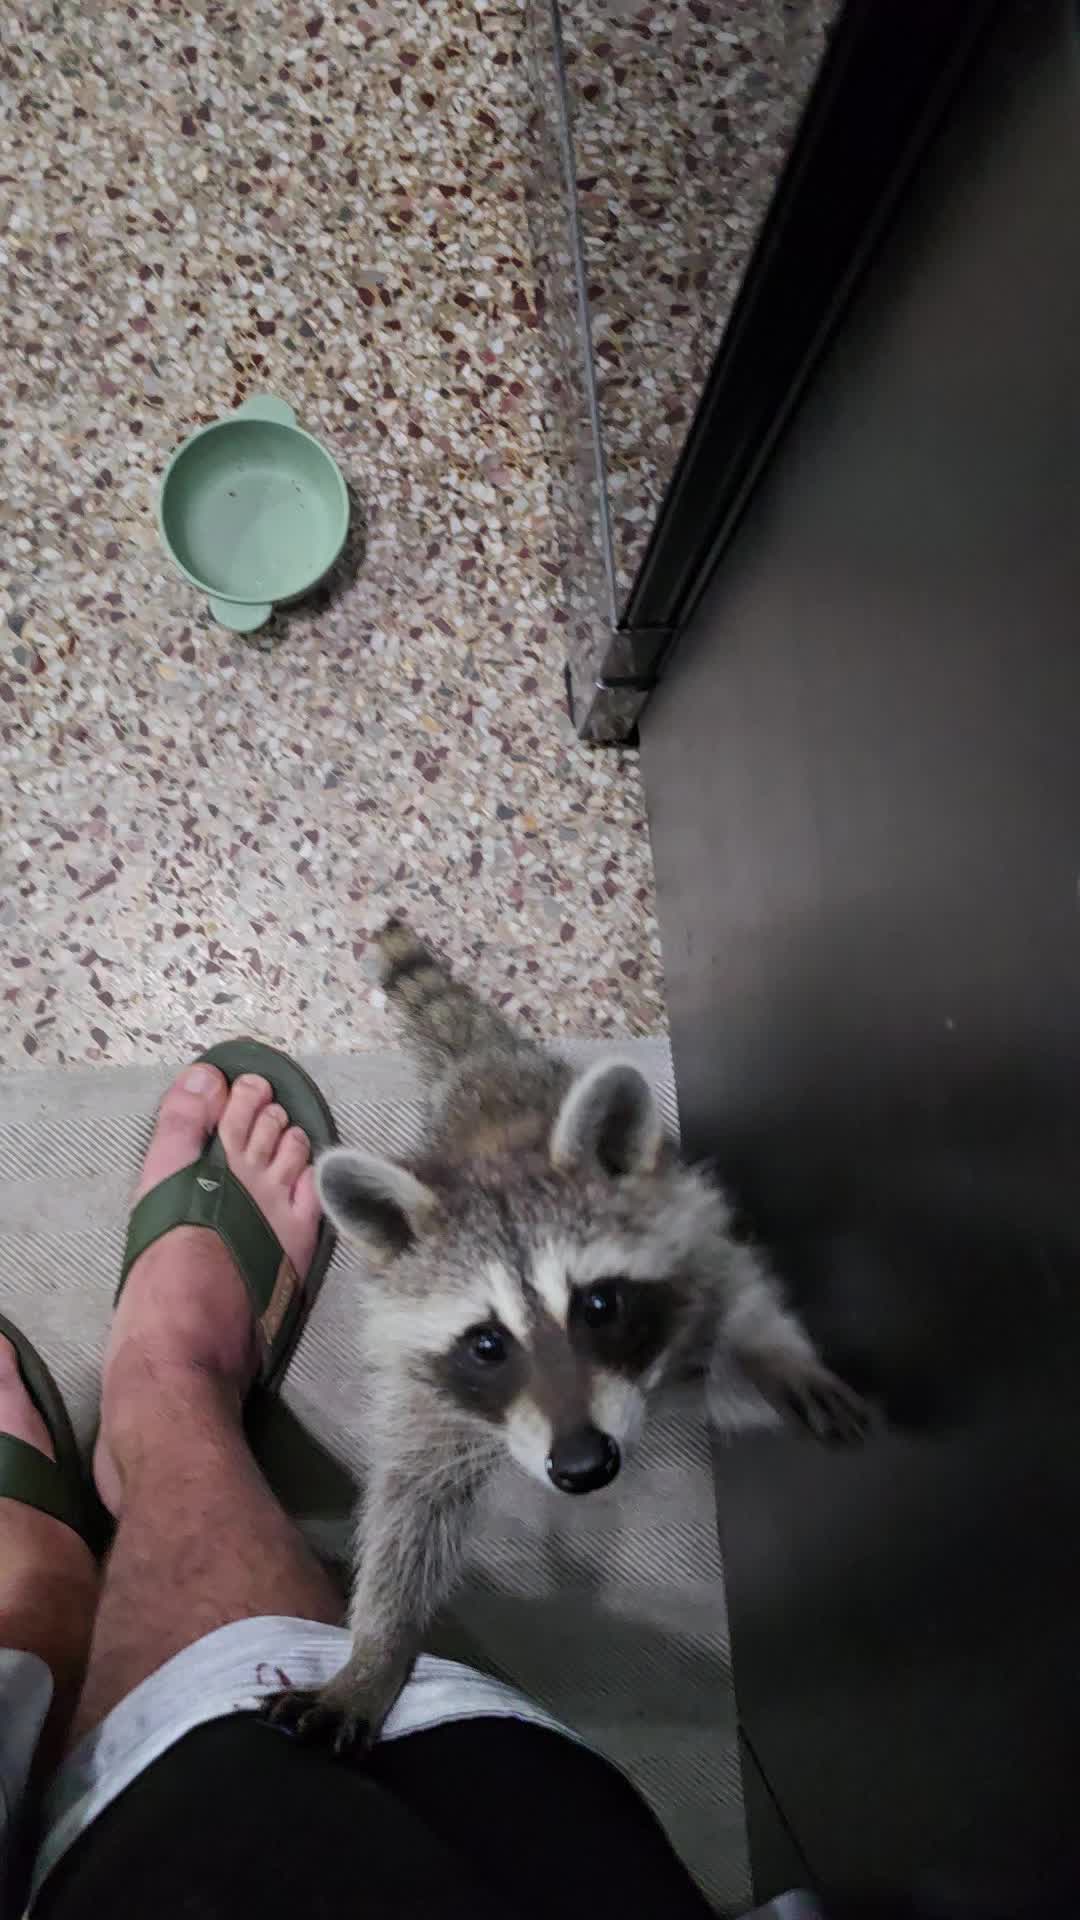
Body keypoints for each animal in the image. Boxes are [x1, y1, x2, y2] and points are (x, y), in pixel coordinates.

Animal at [267, 920, 869, 1752]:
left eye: (599, 1306)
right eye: (487, 1344)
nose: (584, 1465)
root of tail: (484, 1072)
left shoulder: (690, 1235)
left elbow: (739, 1296)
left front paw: (776, 1356)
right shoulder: (433, 1391)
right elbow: (412, 1503)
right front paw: (376, 1652)